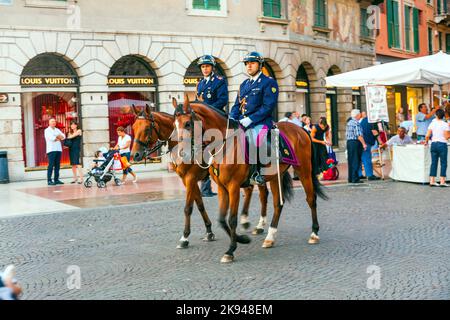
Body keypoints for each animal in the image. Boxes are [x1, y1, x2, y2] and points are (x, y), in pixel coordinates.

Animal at [130, 104, 268, 249]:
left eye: (146, 128)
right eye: (133, 127)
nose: (134, 155)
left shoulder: (191, 178)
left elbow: (188, 208)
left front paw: (185, 237)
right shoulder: (187, 180)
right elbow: (200, 204)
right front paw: (209, 231)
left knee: (262, 193)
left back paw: (259, 225)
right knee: (249, 190)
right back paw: (245, 220)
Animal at [173, 97, 326, 262]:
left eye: (187, 123)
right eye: (174, 125)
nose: (181, 154)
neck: (225, 144)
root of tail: (300, 129)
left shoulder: (232, 186)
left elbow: (232, 219)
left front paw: (231, 250)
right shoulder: (221, 187)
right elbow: (221, 219)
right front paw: (242, 239)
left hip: (304, 171)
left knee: (311, 199)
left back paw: (314, 233)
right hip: (275, 176)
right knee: (278, 204)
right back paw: (270, 237)